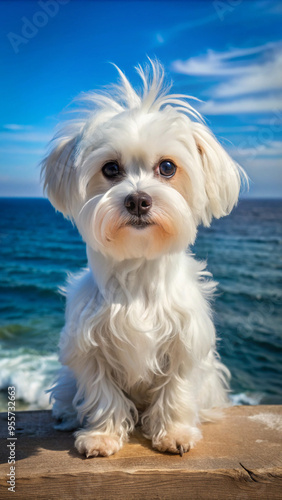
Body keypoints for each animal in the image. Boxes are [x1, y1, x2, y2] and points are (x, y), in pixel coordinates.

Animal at [41, 61, 245, 458]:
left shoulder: (185, 341)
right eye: (110, 169)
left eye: (167, 167)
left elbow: (177, 388)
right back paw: (69, 415)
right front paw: (102, 435)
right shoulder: (89, 347)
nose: (137, 200)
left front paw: (175, 432)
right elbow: (102, 392)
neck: (138, 268)